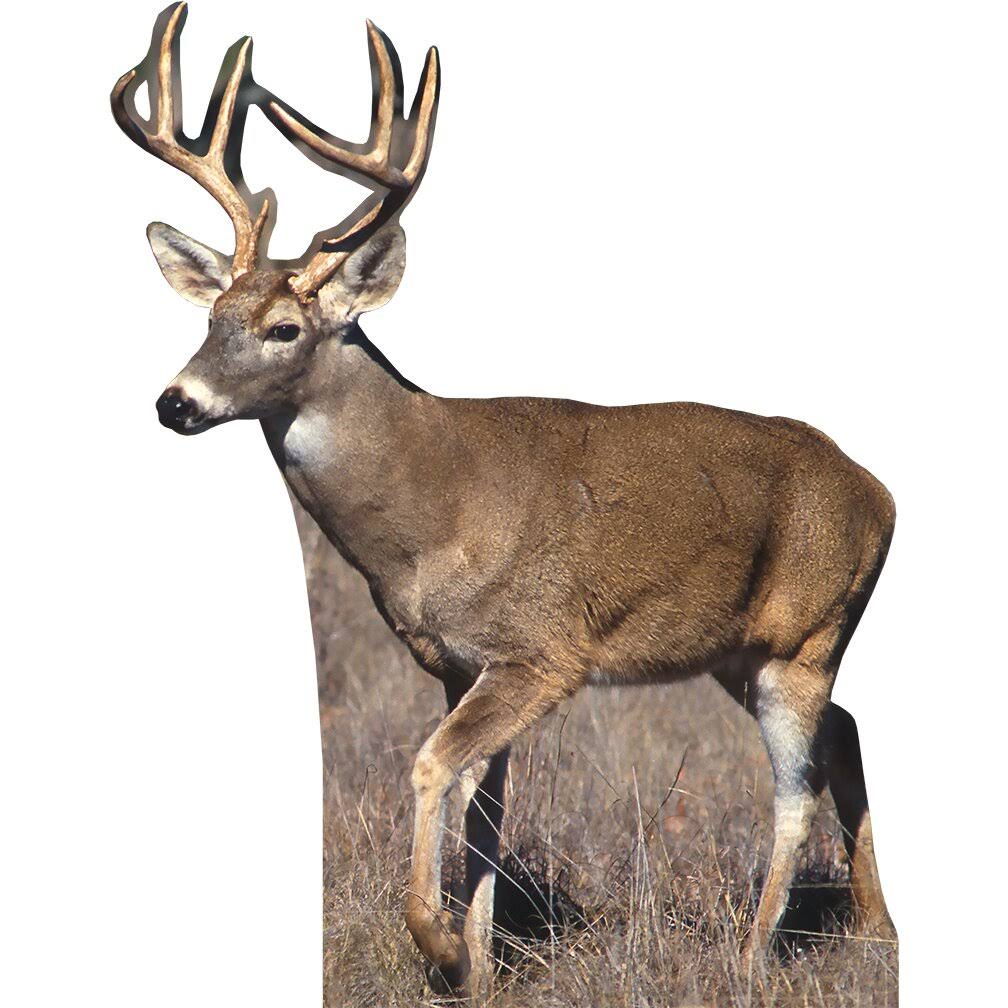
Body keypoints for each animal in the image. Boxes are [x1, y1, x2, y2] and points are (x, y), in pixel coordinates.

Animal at [113, 3, 897, 997]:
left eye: (283, 327)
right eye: (210, 319)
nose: (175, 402)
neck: (429, 513)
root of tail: (881, 492)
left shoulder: (542, 651)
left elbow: (429, 766)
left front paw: (440, 945)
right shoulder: (458, 660)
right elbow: (483, 808)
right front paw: (480, 965)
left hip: (807, 634)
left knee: (796, 788)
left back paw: (753, 957)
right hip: (744, 649)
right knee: (849, 730)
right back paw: (878, 929)